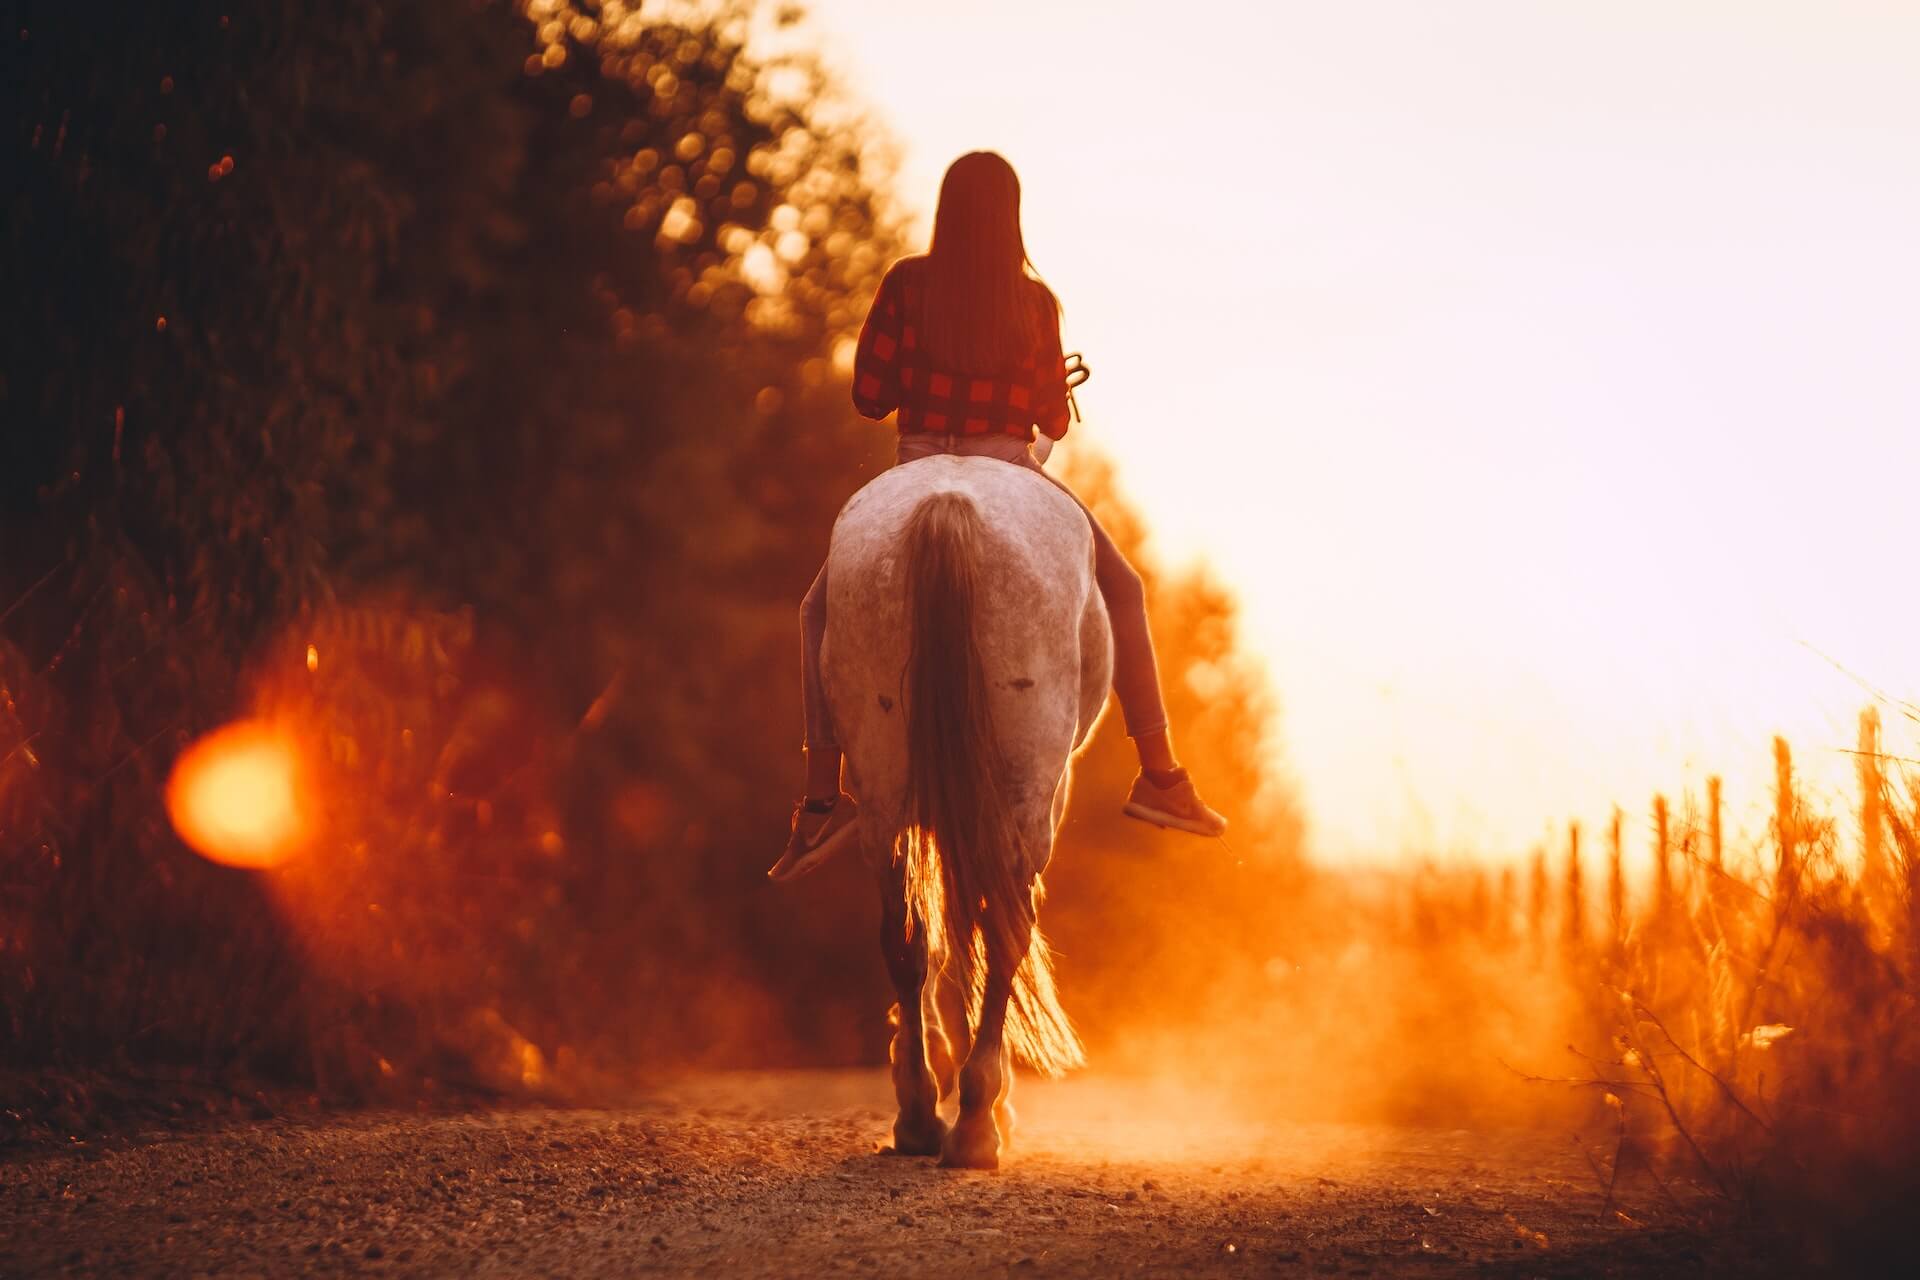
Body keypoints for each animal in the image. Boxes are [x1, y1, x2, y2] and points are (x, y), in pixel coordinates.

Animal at [821, 450, 1113, 1174]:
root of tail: (947, 504)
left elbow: (938, 938)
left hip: (884, 793)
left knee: (905, 935)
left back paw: (920, 1114)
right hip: (1026, 798)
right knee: (1003, 931)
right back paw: (976, 1122)